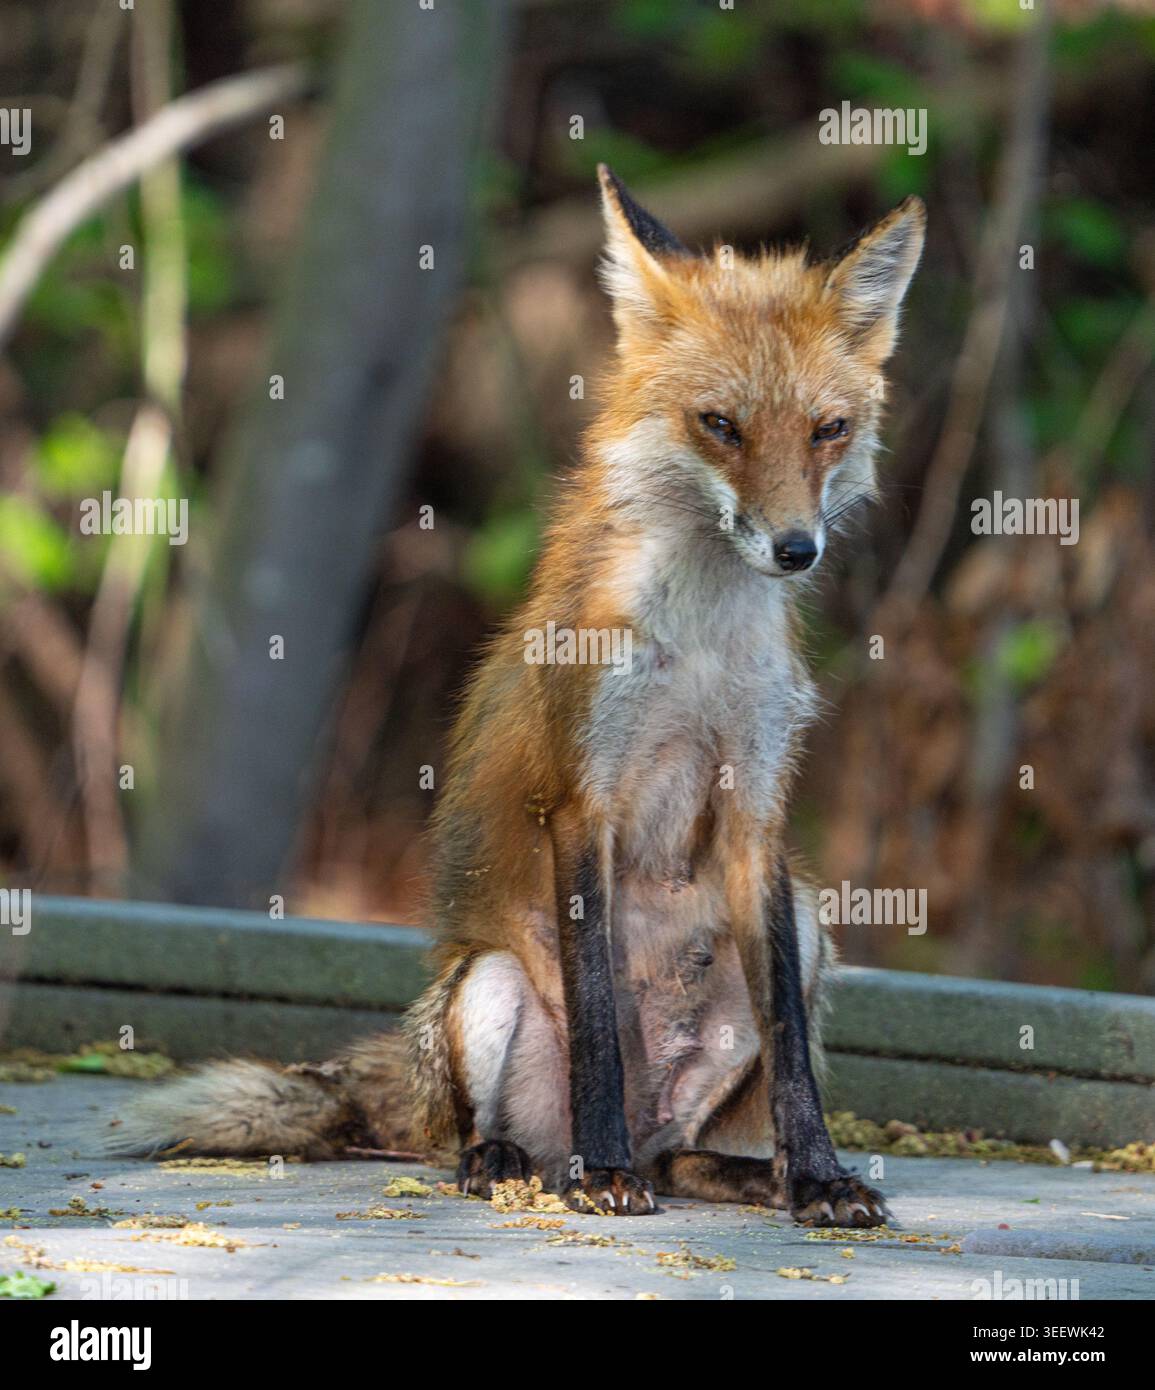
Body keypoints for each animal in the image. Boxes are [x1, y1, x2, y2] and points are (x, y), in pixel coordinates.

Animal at [109, 167, 925, 1226]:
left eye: (828, 430)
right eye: (720, 425)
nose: (796, 549)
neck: (701, 642)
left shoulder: (757, 808)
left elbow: (789, 1037)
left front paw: (818, 1175)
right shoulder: (582, 795)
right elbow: (596, 1021)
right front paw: (604, 1173)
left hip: (811, 929)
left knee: (683, 1156)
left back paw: (737, 1172)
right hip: (484, 988)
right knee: (479, 1136)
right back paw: (526, 1161)